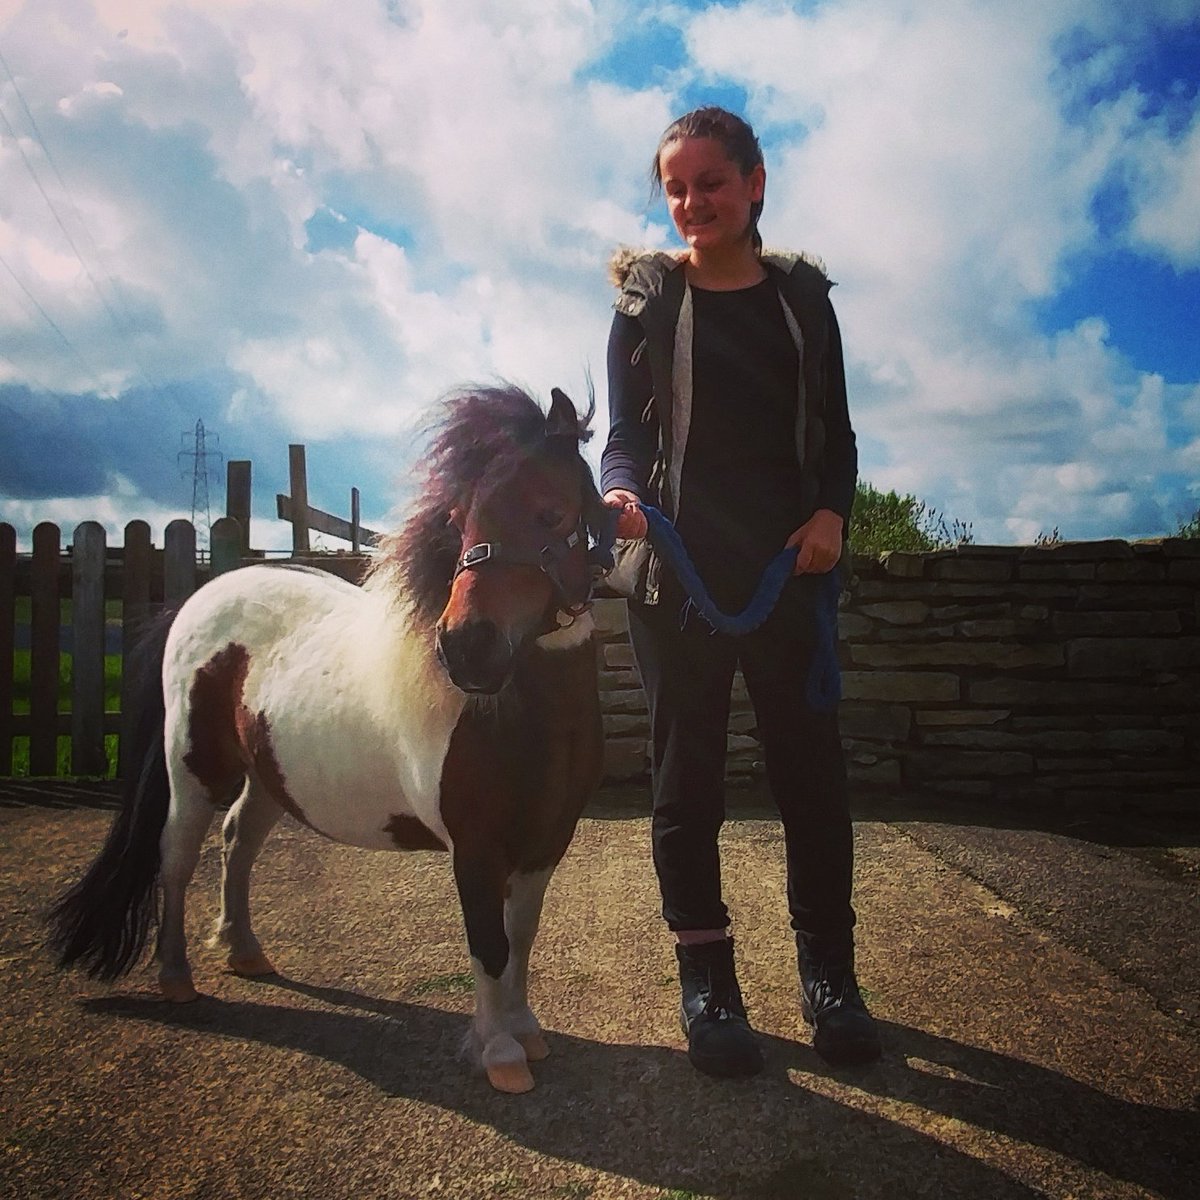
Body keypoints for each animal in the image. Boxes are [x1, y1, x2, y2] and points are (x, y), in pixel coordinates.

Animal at [49, 384, 609, 1094]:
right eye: (460, 519)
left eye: (552, 510)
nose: (466, 648)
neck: (521, 714)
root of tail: (198, 599)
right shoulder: (476, 850)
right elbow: (489, 944)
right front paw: (500, 1052)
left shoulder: (544, 843)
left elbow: (521, 938)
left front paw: (525, 1031)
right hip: (195, 770)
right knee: (176, 856)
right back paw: (176, 977)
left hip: (269, 777)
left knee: (238, 840)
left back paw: (245, 951)